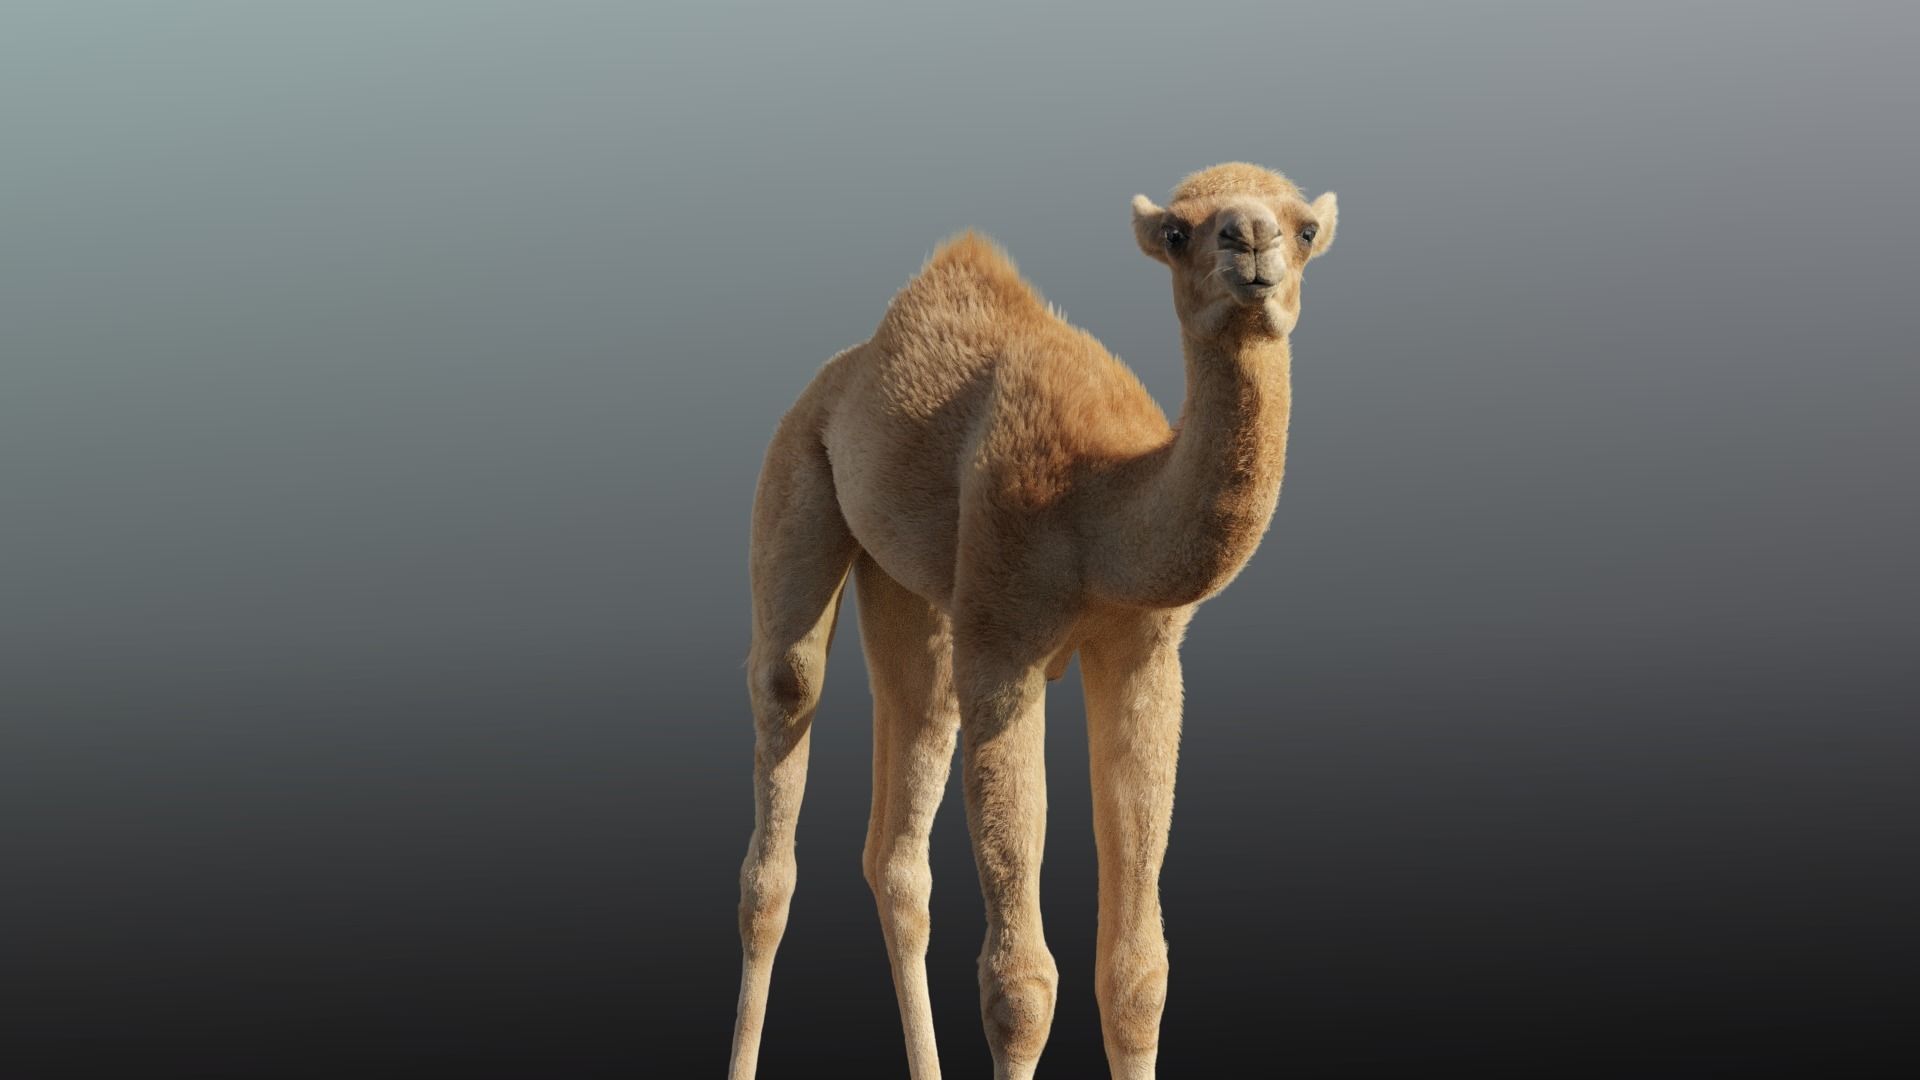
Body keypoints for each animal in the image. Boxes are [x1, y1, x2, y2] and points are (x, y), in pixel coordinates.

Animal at [727, 163, 1339, 1079]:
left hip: (912, 591)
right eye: (1178, 234)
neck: (1103, 505)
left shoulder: (1142, 651)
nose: (1251, 241)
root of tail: (841, 373)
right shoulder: (1004, 644)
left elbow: (1137, 975)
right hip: (795, 467)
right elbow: (1020, 986)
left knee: (901, 834)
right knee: (784, 730)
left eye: (1304, 228)